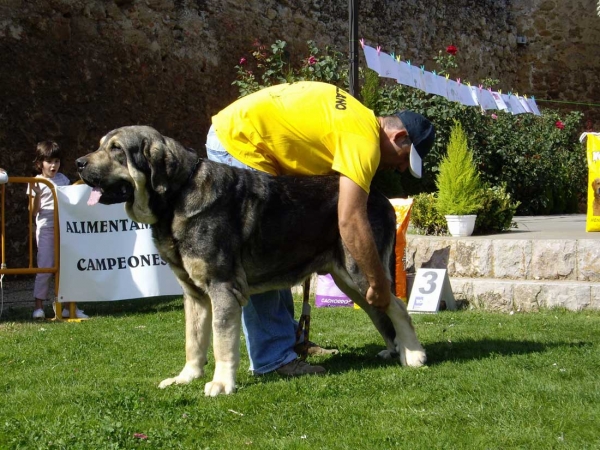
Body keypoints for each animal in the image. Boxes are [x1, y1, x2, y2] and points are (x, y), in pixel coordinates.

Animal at [76, 125, 426, 396]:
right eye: (100, 146)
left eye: (116, 149)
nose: (79, 163)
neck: (177, 196)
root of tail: (379, 197)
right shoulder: (194, 294)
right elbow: (194, 340)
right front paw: (187, 377)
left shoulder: (222, 287)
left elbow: (221, 340)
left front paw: (221, 384)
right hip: (350, 281)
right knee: (379, 309)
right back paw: (396, 349)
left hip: (360, 271)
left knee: (397, 307)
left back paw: (414, 355)